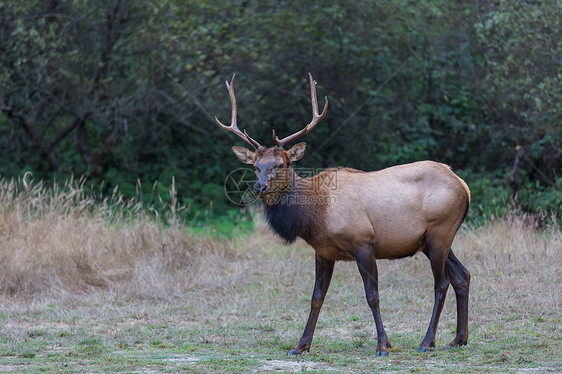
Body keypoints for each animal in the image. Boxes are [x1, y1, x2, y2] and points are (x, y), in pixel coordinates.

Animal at [214, 73, 468, 356]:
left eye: (281, 164)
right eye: (256, 166)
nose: (260, 187)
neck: (314, 214)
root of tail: (463, 184)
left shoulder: (364, 242)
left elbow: (372, 295)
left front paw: (383, 345)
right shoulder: (323, 251)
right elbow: (316, 298)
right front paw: (300, 345)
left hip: (440, 232)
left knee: (441, 283)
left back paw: (427, 342)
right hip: (430, 240)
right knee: (462, 276)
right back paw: (458, 339)